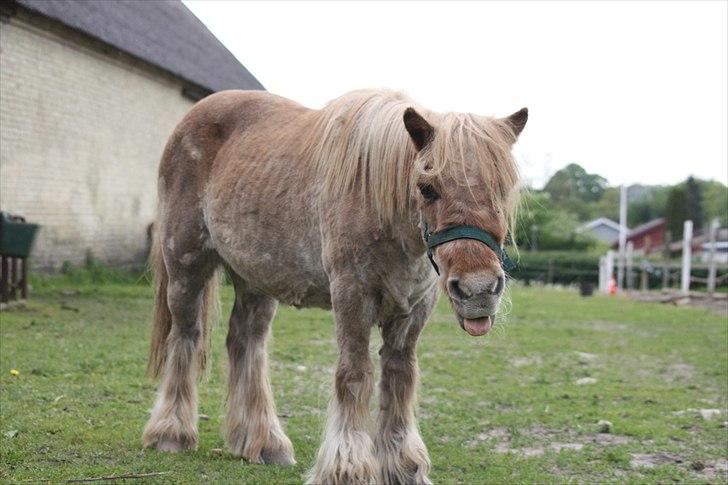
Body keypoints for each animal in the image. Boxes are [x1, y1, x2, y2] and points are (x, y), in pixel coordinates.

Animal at [142, 88, 528, 484]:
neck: (379, 204)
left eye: (504, 189)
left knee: (246, 343)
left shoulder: (413, 310)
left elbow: (400, 376)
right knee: (186, 335)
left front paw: (403, 465)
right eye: (428, 188)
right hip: (185, 265)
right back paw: (172, 432)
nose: (478, 290)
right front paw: (347, 467)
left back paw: (263, 442)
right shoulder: (352, 296)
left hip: (256, 279)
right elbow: (354, 374)